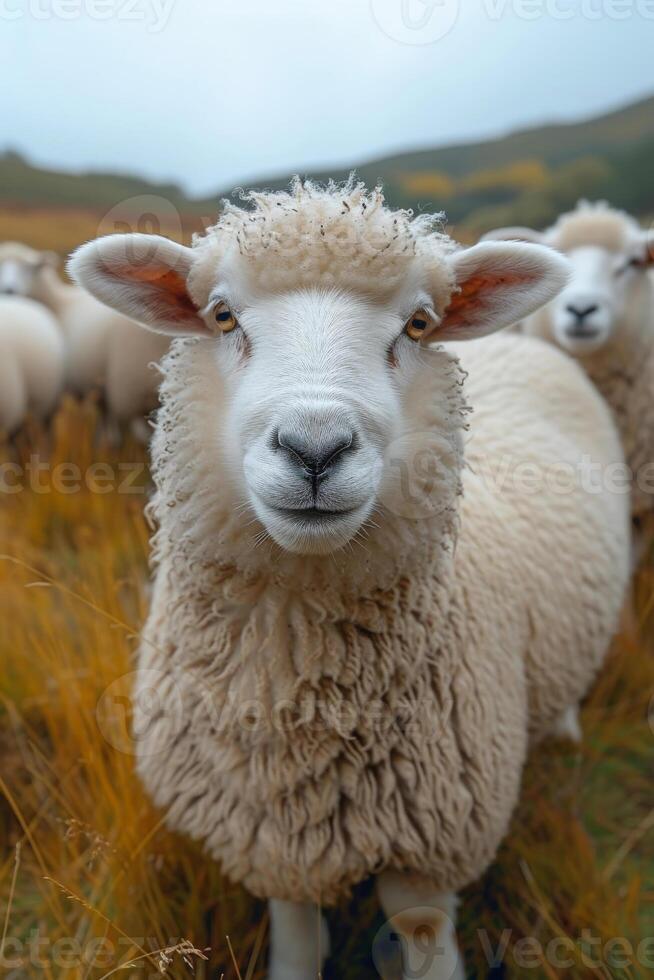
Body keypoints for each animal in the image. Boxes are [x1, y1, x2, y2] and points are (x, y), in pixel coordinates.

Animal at [69, 182, 632, 980]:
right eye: (222, 315)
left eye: (419, 324)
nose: (315, 449)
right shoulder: (271, 838)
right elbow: (298, 940)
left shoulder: (431, 849)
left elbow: (427, 945)